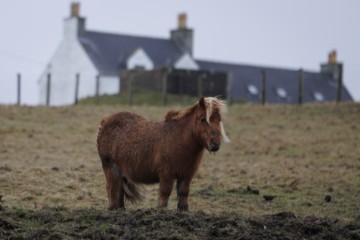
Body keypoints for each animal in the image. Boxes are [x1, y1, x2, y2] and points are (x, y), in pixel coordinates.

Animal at [96, 96, 231, 211]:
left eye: (219, 119)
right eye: (203, 119)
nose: (215, 144)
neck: (180, 139)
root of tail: (105, 122)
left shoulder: (186, 175)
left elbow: (184, 193)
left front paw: (183, 210)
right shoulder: (167, 174)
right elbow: (165, 193)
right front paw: (161, 210)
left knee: (119, 192)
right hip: (110, 168)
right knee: (112, 189)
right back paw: (113, 209)